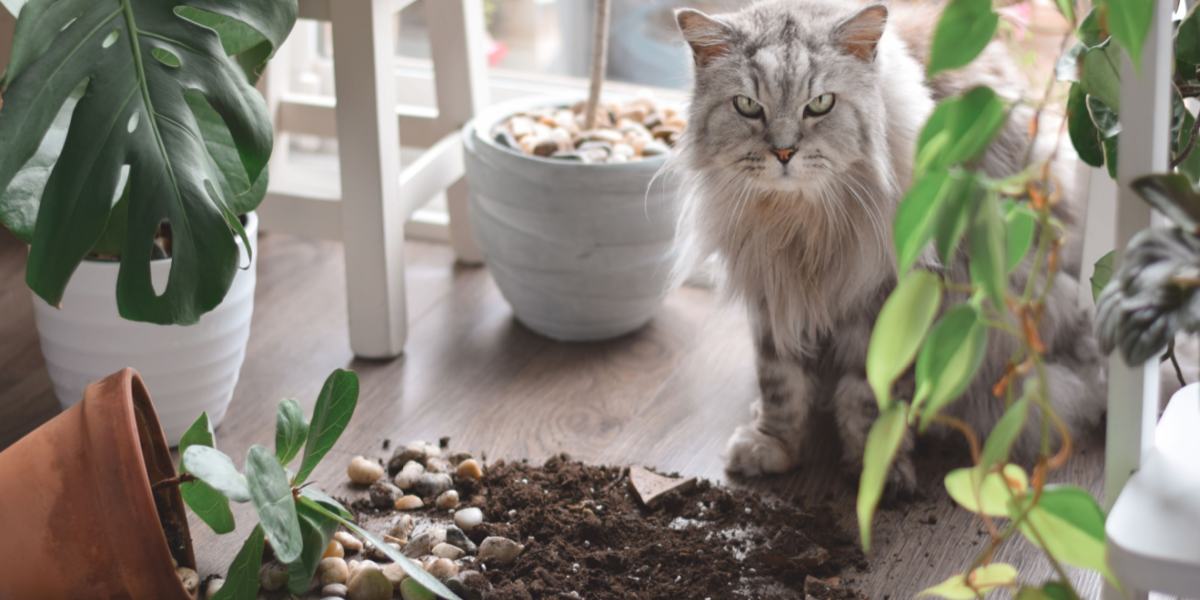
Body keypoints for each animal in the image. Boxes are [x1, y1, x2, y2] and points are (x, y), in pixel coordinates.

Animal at [672, 0, 1099, 487]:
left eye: (820, 104)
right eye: (747, 106)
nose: (783, 153)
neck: (802, 224)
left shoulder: (887, 300)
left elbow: (869, 394)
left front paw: (877, 468)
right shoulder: (772, 292)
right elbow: (780, 384)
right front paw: (772, 446)